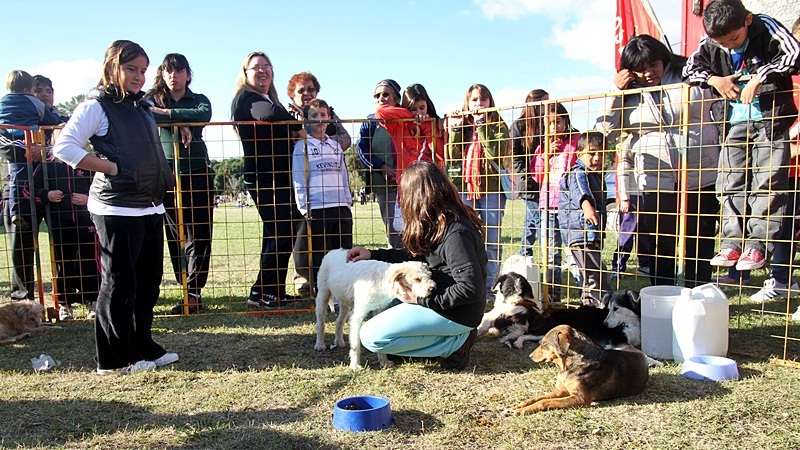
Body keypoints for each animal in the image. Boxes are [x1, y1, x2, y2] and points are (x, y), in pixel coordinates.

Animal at [506, 324, 648, 414]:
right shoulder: (560, 391)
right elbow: (536, 398)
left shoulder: (580, 399)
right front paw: (517, 407)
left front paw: (521, 411)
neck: (567, 366)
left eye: (544, 344)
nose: (530, 356)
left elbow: (544, 402)